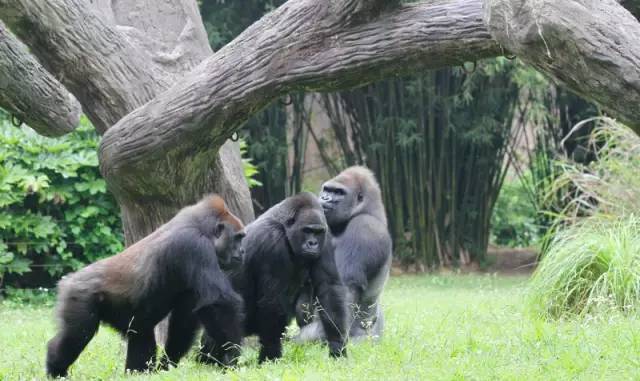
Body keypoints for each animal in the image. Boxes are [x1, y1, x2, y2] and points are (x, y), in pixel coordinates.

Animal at [45, 194, 245, 376]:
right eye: (238, 238)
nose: (243, 251)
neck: (203, 227)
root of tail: (68, 279)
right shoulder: (195, 246)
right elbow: (218, 302)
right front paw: (231, 356)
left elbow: (184, 321)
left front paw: (166, 365)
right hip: (78, 296)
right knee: (75, 337)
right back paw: (56, 368)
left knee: (140, 334)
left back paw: (137, 372)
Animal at [200, 193, 350, 362]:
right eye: (307, 230)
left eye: (317, 232)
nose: (313, 243)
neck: (284, 227)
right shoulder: (271, 241)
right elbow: (272, 302)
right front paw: (271, 354)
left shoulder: (326, 236)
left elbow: (328, 288)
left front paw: (337, 345)